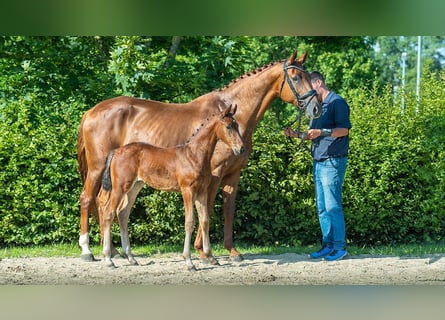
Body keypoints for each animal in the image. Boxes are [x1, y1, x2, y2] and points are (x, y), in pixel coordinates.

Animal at [97, 104, 243, 270]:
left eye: (237, 125)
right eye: (228, 127)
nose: (241, 149)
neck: (195, 155)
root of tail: (116, 151)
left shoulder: (202, 192)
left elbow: (205, 220)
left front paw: (211, 257)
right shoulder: (188, 190)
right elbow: (190, 222)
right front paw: (188, 261)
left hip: (134, 187)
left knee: (122, 213)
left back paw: (131, 258)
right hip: (120, 187)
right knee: (109, 212)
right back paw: (108, 259)